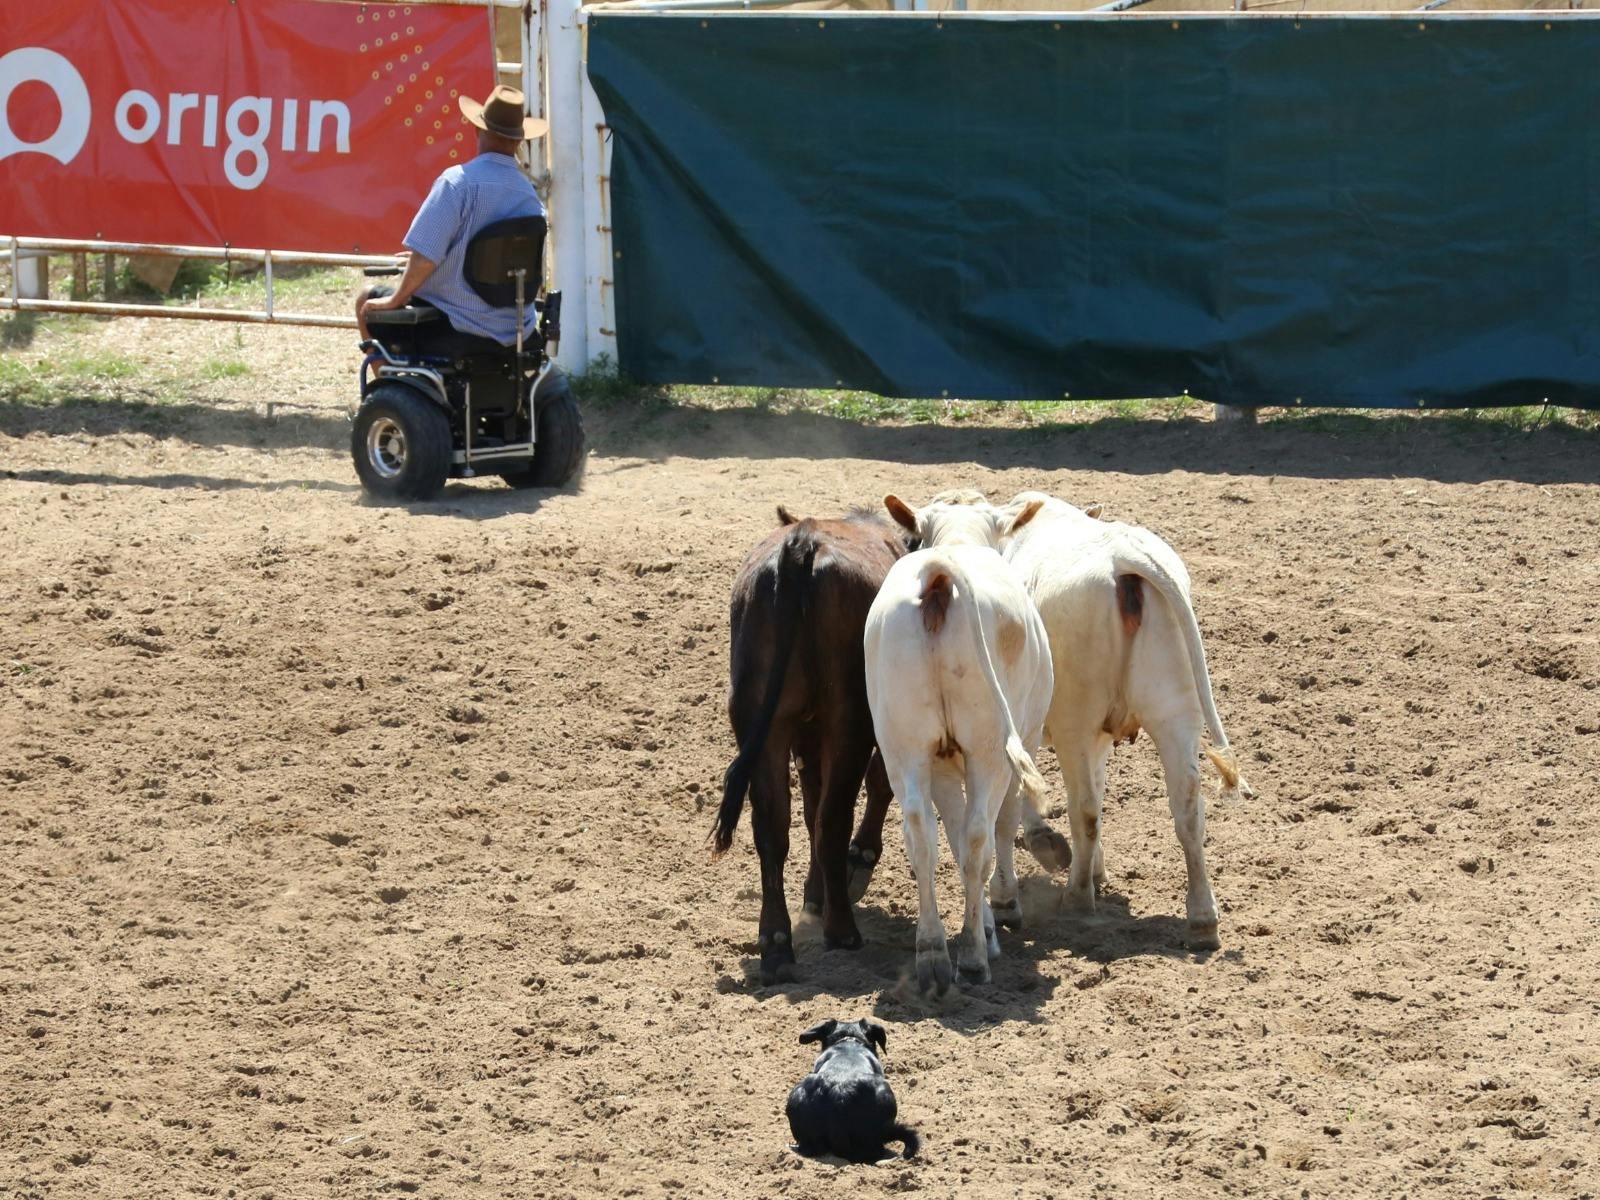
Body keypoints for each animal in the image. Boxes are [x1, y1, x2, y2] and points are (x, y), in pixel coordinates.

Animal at [713, 506, 909, 985]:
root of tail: (800, 544)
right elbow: (874, 785)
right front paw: (858, 858)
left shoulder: (804, 737)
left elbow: (808, 810)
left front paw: (814, 893)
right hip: (850, 721)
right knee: (833, 818)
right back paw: (841, 929)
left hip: (762, 723)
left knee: (774, 827)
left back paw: (776, 942)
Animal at [864, 492, 1059, 995]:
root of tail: (940, 572)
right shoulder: (1019, 742)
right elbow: (998, 828)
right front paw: (1001, 910)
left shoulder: (942, 763)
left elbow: (948, 835)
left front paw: (985, 923)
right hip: (991, 750)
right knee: (978, 837)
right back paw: (971, 958)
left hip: (905, 749)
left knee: (922, 839)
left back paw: (932, 953)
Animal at [985, 490, 1252, 950]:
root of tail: (1126, 558)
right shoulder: (1098, 738)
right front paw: (1095, 868)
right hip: (1173, 714)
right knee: (1187, 809)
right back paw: (1202, 919)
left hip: (1075, 723)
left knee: (1085, 810)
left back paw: (1077, 898)